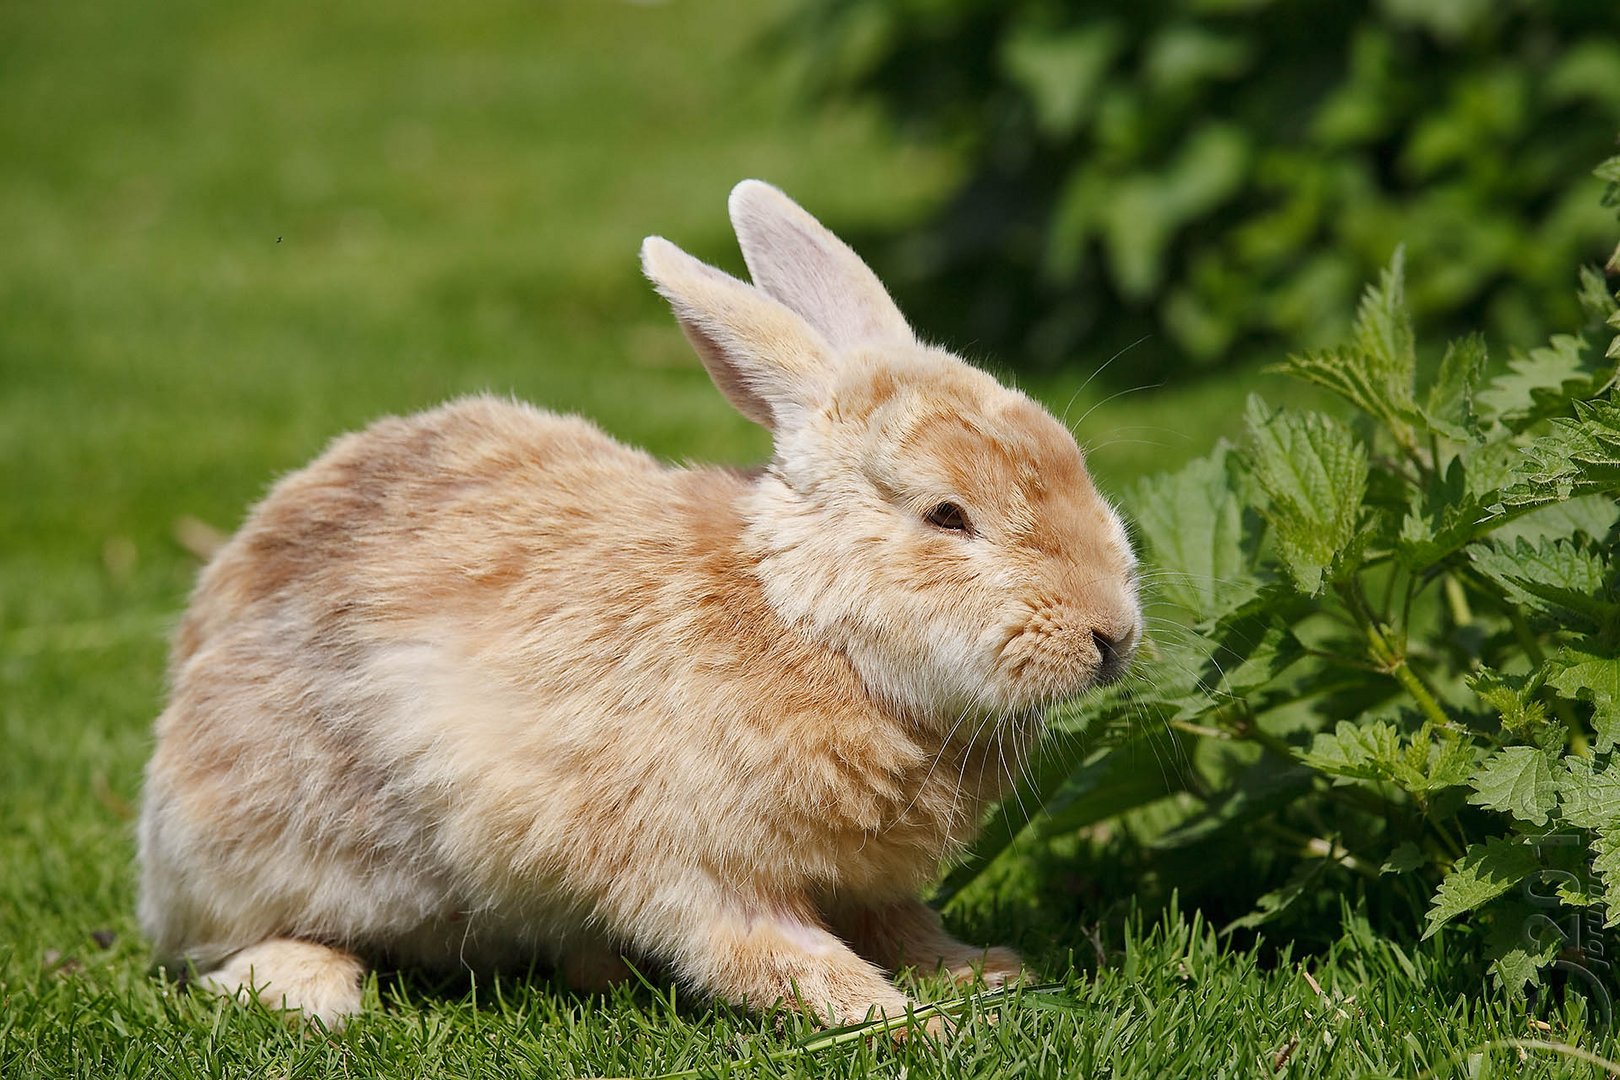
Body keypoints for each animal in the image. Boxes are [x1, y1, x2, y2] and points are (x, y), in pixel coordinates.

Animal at [139, 177, 1146, 1029]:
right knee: (229, 945)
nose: (1113, 634)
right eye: (946, 515)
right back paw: (313, 989)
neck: (805, 623)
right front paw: (899, 1023)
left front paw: (984, 973)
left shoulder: (866, 884)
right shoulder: (697, 869)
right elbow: (771, 954)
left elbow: (906, 926)